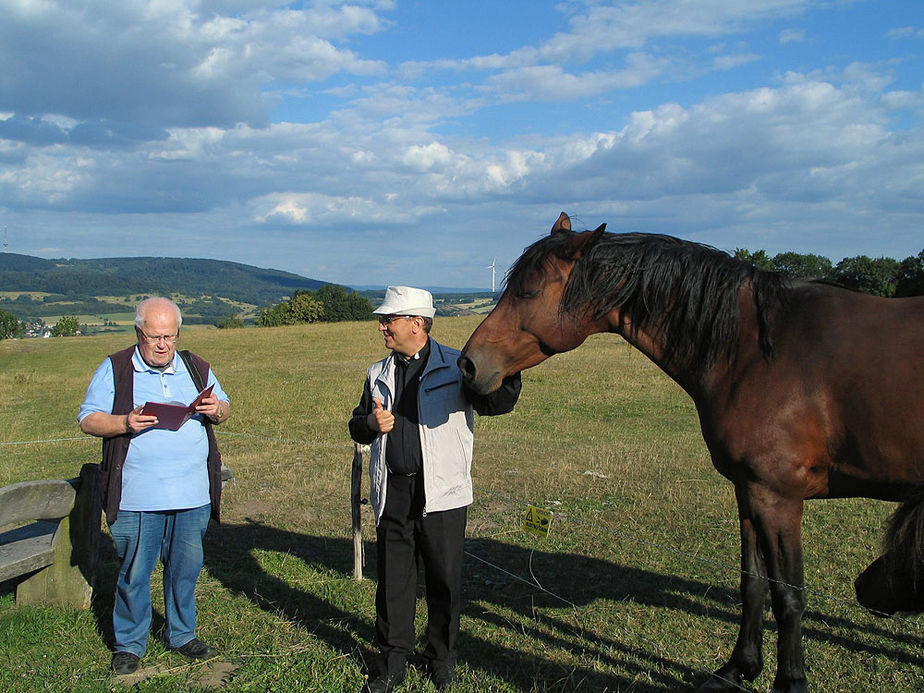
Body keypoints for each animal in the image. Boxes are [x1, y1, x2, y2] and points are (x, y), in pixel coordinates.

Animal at [462, 212, 924, 692]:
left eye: (528, 292)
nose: (469, 365)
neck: (755, 352)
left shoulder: (779, 498)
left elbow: (789, 595)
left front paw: (791, 681)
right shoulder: (750, 492)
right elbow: (753, 583)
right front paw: (739, 669)